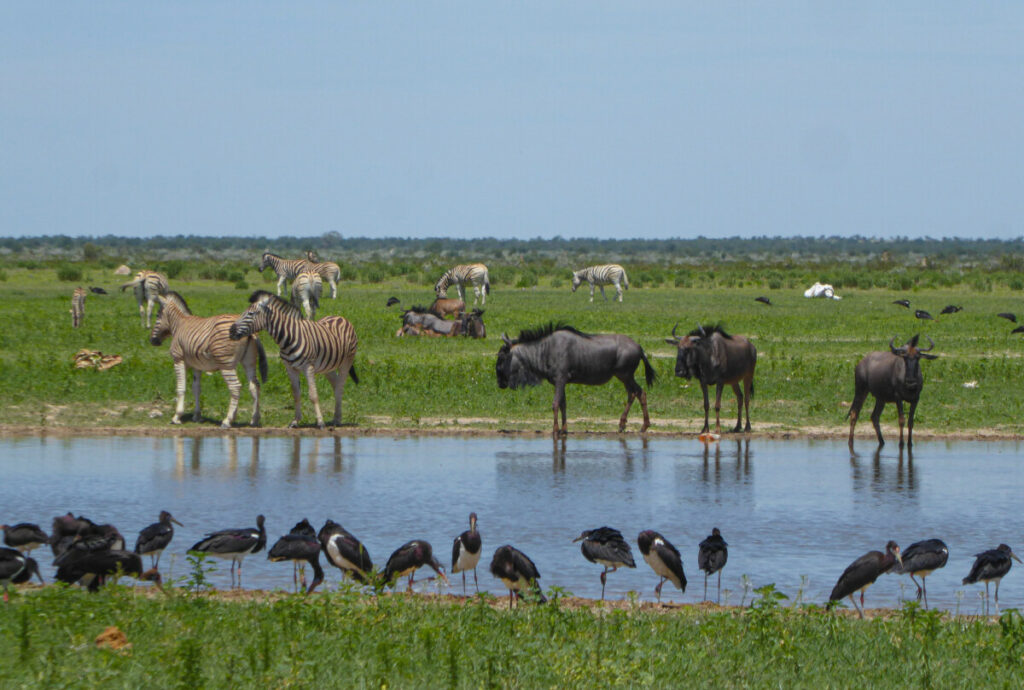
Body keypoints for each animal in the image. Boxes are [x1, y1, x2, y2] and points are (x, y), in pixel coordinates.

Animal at [149, 288, 268, 427]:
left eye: (157, 316)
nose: (152, 341)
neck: (179, 324)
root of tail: (250, 332)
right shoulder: (197, 365)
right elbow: (196, 388)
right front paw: (197, 416)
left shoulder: (178, 359)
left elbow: (181, 387)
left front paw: (177, 416)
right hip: (249, 362)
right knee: (254, 386)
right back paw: (255, 419)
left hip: (226, 364)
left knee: (235, 387)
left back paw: (228, 420)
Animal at [229, 286, 360, 427]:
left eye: (251, 314)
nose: (231, 331)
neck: (289, 337)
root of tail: (340, 317)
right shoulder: (290, 368)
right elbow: (296, 394)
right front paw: (295, 421)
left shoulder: (308, 367)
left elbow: (313, 395)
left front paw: (320, 422)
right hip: (327, 367)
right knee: (336, 385)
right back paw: (336, 418)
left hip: (346, 362)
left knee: (340, 387)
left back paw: (338, 419)